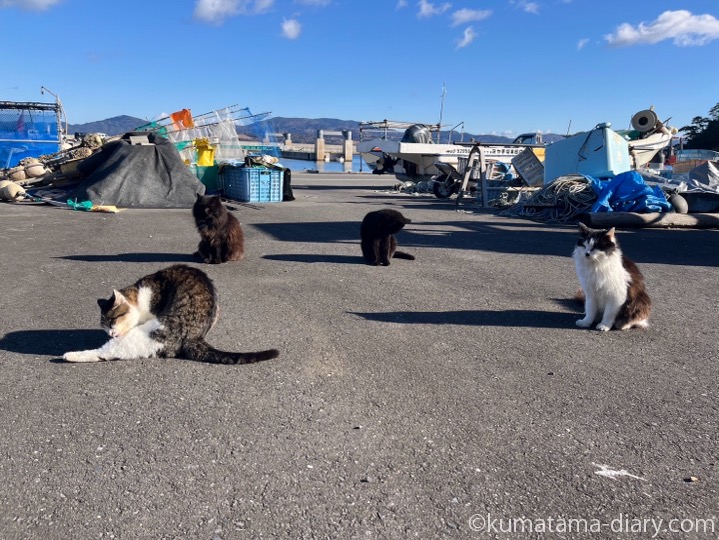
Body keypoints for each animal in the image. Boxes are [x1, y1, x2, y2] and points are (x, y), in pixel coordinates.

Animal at [63, 264, 280, 364]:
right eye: (104, 326)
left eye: (113, 320)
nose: (110, 333)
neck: (140, 295)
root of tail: (194, 337)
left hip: (142, 337)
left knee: (104, 353)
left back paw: (68, 356)